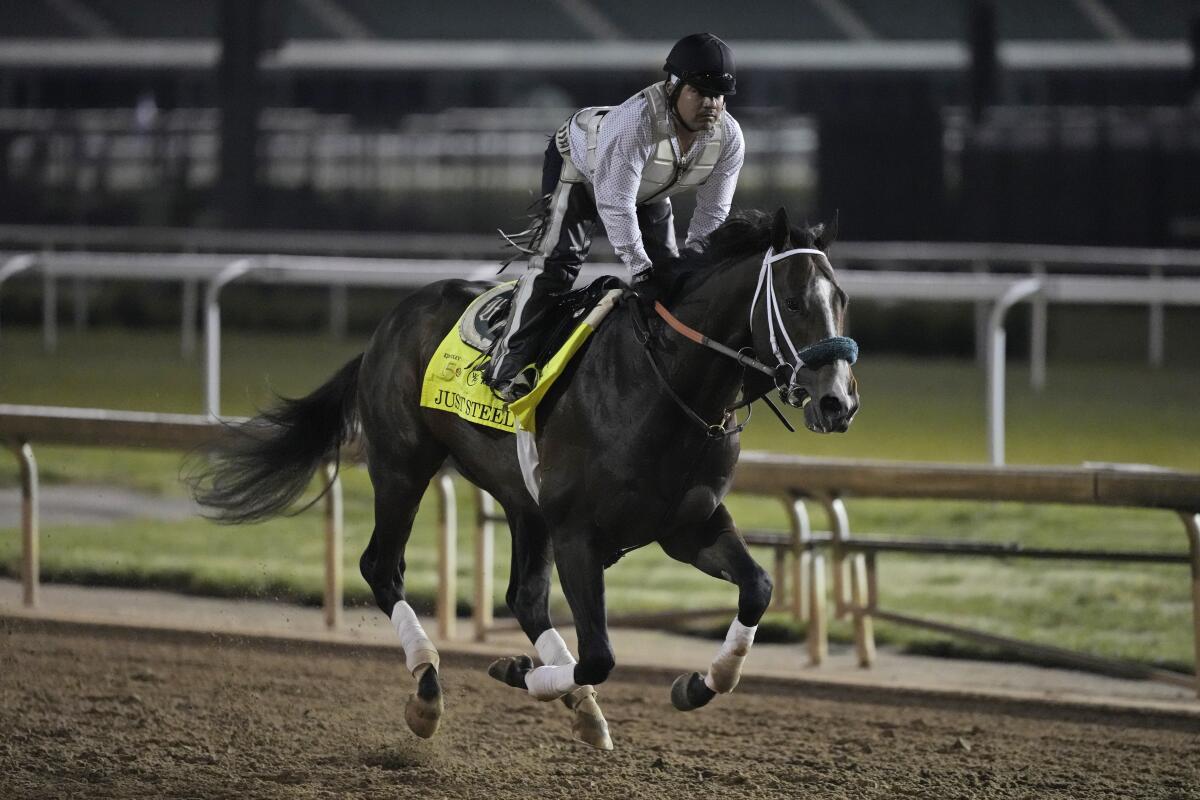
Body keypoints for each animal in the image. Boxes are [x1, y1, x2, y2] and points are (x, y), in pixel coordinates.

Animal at [192, 205, 859, 753]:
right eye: (793, 302)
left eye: (843, 299)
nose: (838, 402)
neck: (664, 385)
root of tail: (390, 323)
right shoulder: (578, 534)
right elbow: (600, 654)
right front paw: (518, 671)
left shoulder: (688, 526)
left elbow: (758, 588)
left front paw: (700, 681)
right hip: (404, 464)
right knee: (383, 568)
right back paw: (428, 689)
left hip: (523, 503)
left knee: (524, 598)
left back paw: (579, 708)